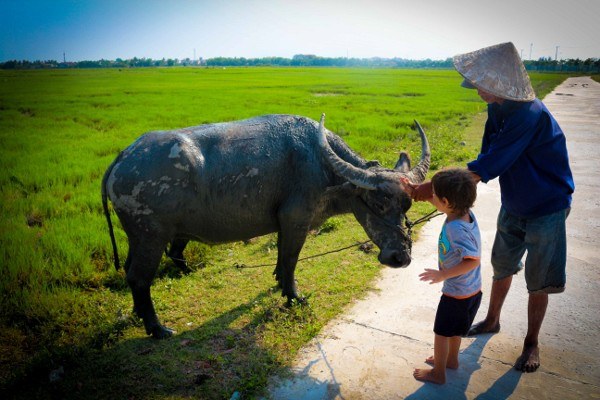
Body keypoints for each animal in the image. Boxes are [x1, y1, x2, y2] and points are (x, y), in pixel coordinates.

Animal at [104, 113, 432, 338]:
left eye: (406, 205)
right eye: (377, 204)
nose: (400, 257)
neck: (322, 164)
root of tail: (123, 157)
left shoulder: (283, 224)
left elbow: (280, 259)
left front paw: (278, 284)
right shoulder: (296, 221)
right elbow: (290, 260)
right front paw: (294, 296)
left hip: (139, 238)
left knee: (132, 271)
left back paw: (138, 314)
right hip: (152, 237)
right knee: (139, 278)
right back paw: (157, 328)